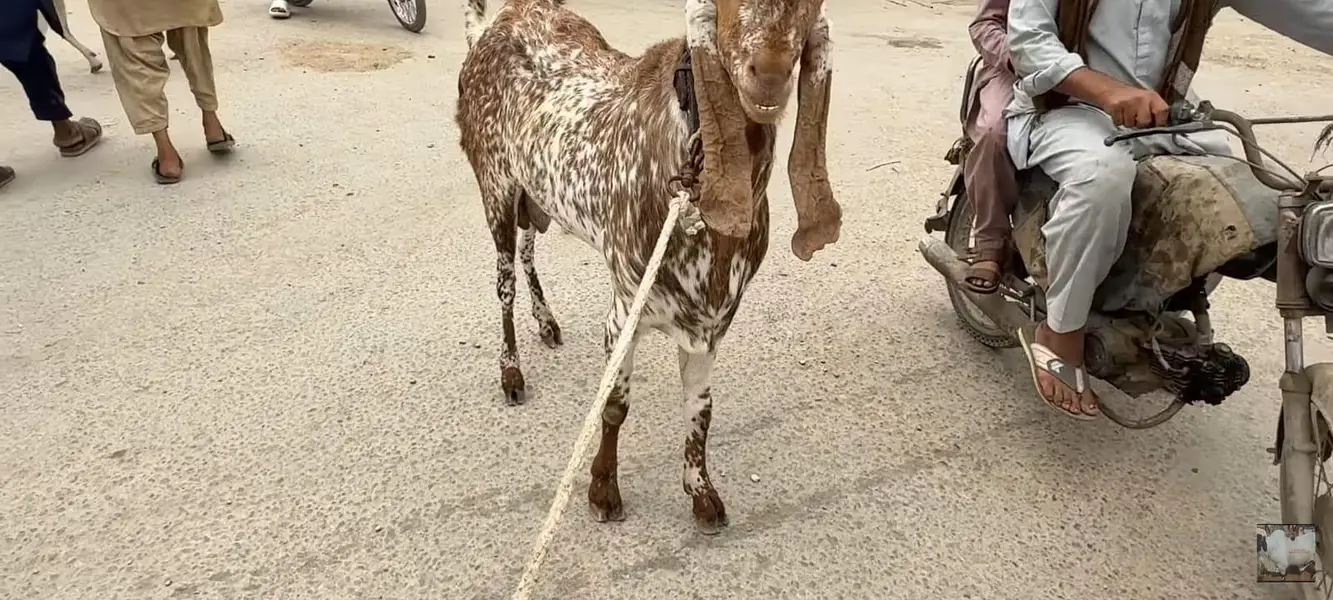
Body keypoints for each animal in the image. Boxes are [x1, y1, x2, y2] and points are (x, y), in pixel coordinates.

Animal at [455, 0, 841, 533]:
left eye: (816, 5)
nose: (769, 75)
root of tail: (496, 23)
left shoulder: (711, 325)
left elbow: (701, 410)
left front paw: (701, 493)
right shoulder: (625, 312)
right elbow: (615, 405)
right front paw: (603, 491)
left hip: (536, 194)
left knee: (529, 250)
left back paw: (547, 322)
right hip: (496, 186)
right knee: (505, 279)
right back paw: (511, 372)